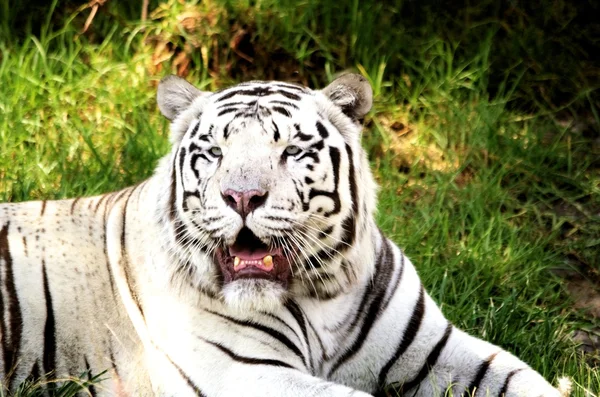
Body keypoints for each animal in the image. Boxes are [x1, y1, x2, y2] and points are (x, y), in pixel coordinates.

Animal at [0, 73, 568, 392]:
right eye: (215, 152)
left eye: (291, 150)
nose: (242, 197)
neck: (321, 296)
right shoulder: (245, 371)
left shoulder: (435, 348)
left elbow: (523, 379)